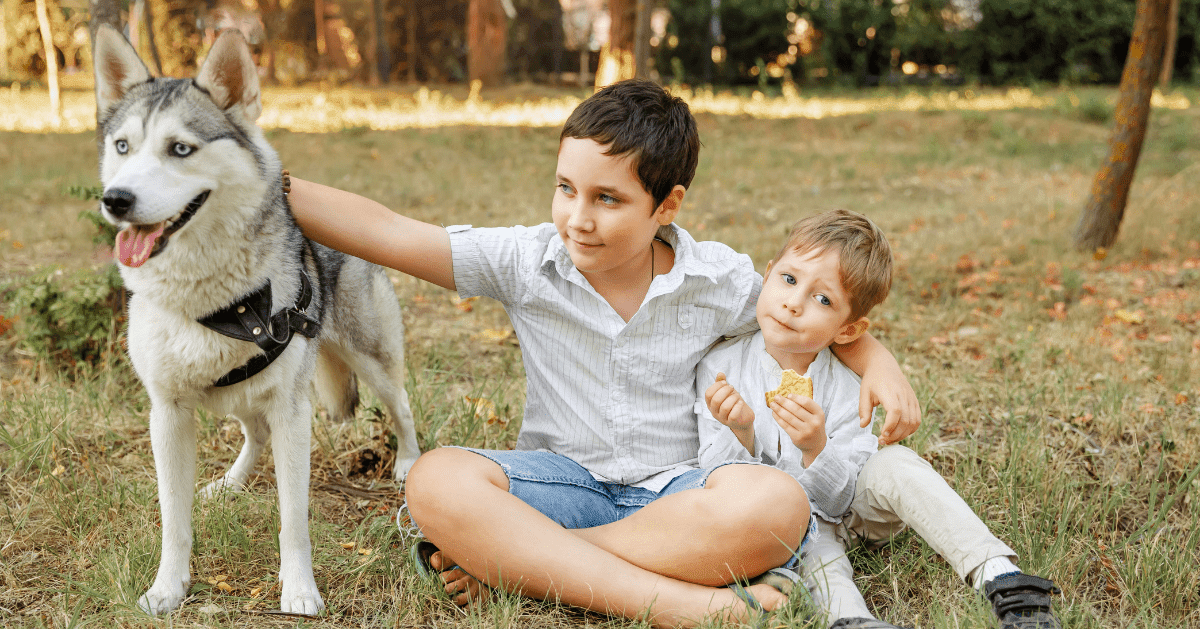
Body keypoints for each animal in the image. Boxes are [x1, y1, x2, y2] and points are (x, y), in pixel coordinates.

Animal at [92, 27, 422, 614]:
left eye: (181, 149)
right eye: (123, 146)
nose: (116, 200)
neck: (211, 303)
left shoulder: (294, 412)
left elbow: (294, 519)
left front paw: (300, 590)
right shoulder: (167, 412)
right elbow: (173, 519)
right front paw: (168, 588)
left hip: (370, 360)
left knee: (402, 406)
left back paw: (407, 463)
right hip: (237, 393)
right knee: (255, 434)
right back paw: (230, 483)